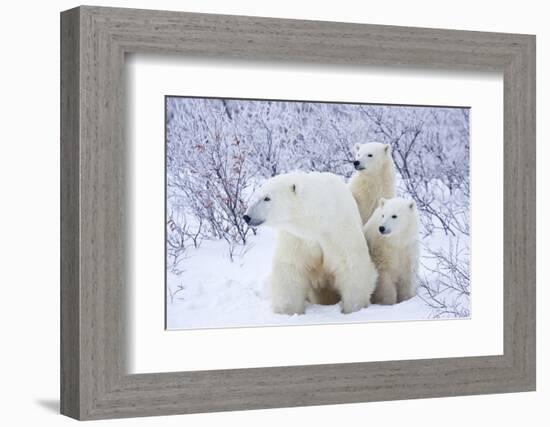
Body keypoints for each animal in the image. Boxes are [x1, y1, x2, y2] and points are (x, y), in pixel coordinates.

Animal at [246, 172, 380, 316]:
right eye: (257, 195)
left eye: (267, 198)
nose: (246, 216)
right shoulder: (297, 238)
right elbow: (290, 268)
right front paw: (286, 311)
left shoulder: (338, 229)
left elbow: (351, 265)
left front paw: (354, 308)